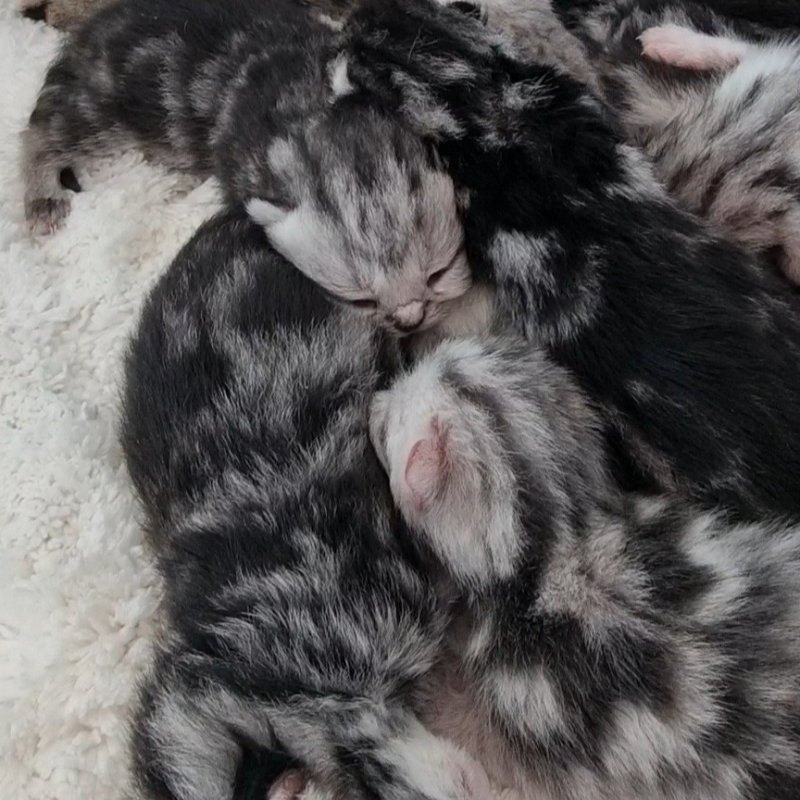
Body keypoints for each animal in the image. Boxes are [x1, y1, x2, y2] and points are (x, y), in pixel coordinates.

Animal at [22, 0, 470, 336]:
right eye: (361, 301)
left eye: (439, 272)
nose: (410, 321)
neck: (306, 109)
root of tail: (86, 37)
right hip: (102, 109)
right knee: (42, 131)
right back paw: (41, 196)